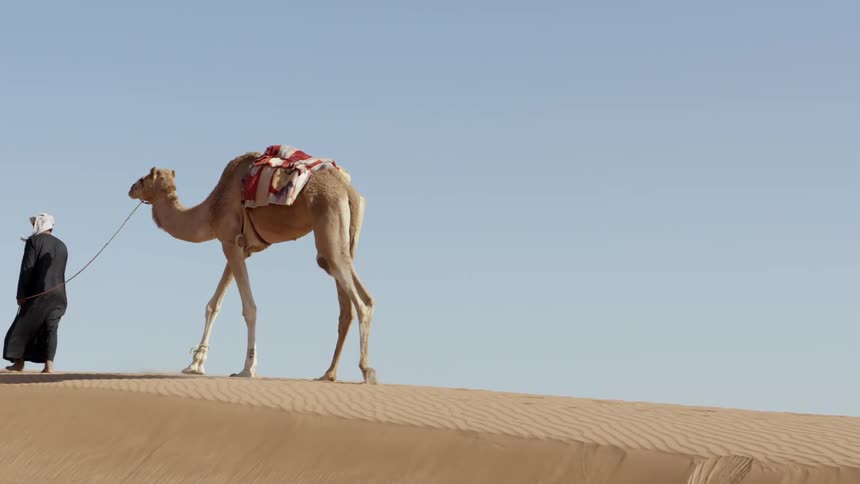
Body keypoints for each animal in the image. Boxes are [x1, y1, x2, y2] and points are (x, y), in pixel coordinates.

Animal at [128, 152, 377, 383]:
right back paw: (328, 374)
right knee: (347, 306)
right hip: (348, 237)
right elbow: (213, 305)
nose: (130, 189)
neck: (211, 210)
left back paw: (367, 371)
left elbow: (249, 308)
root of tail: (348, 190)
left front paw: (247, 369)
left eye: (142, 178)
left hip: (328, 222)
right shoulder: (239, 247)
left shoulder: (230, 242)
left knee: (360, 299)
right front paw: (195, 364)